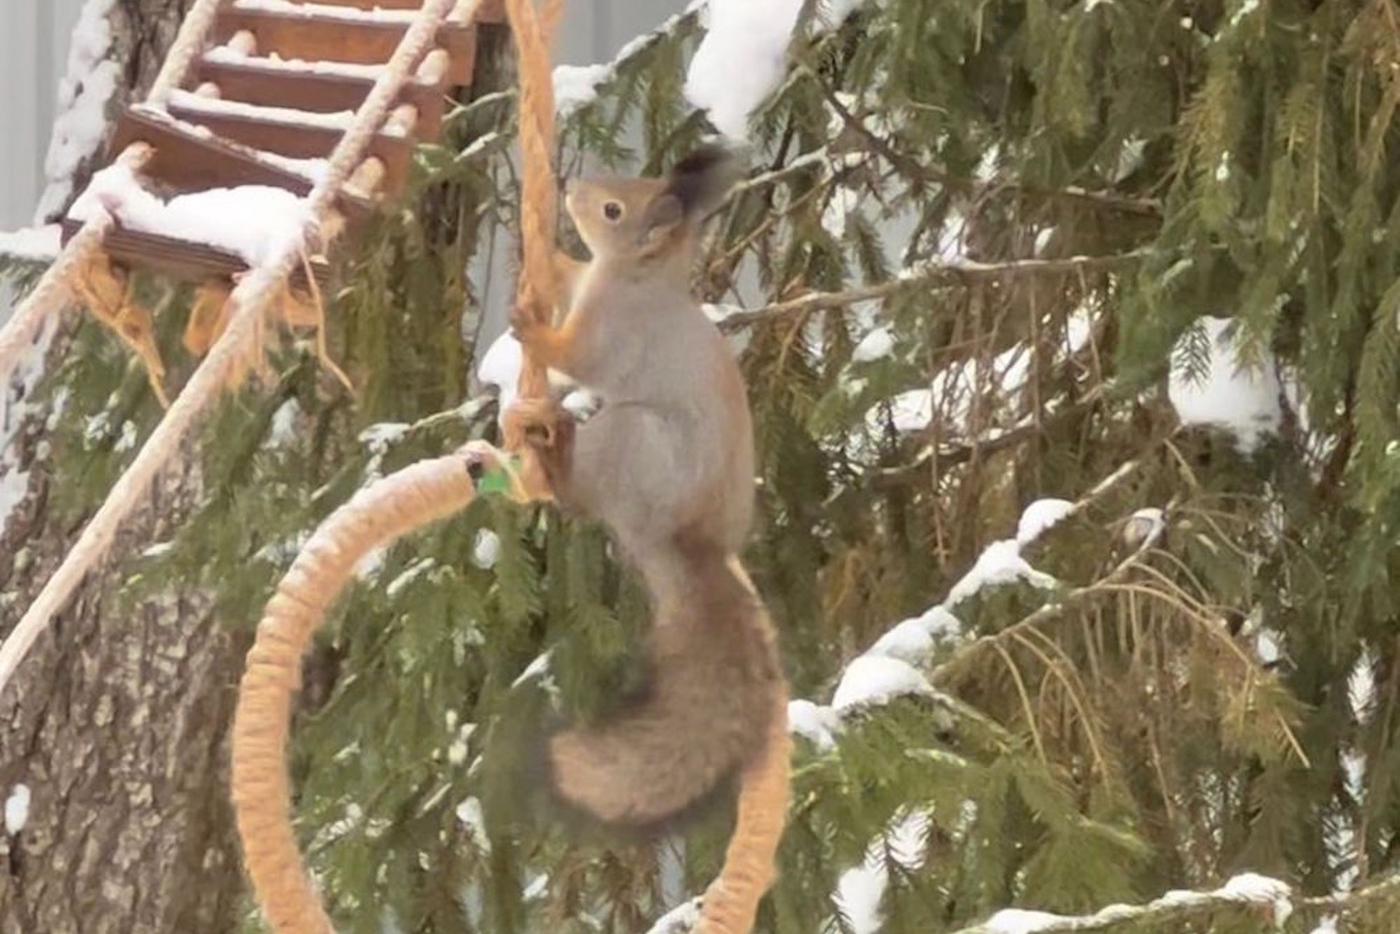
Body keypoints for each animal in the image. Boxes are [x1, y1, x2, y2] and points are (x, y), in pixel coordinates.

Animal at [487, 142, 784, 828]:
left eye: (614, 210)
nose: (573, 188)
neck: (638, 278)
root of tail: (687, 544)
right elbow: (572, 277)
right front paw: (552, 258)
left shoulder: (616, 333)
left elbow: (581, 359)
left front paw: (535, 331)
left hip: (631, 444)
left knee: (578, 493)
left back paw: (553, 460)